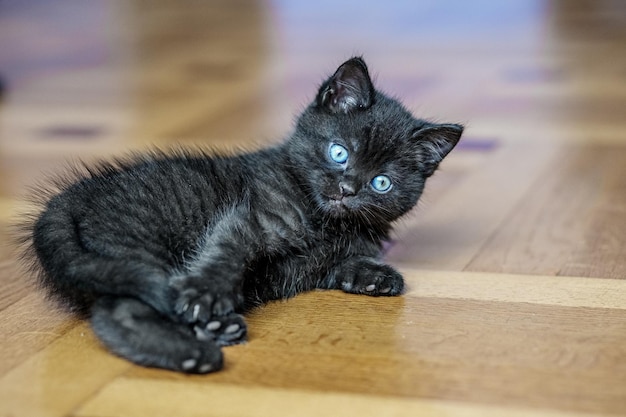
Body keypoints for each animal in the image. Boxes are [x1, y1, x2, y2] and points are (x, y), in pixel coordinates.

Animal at [22, 57, 460, 372]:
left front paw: (375, 276)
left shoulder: (326, 257)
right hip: (143, 242)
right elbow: (227, 253)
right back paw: (193, 352)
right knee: (117, 311)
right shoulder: (251, 218)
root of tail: (66, 200)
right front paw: (205, 294)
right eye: (339, 152)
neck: (326, 223)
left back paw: (215, 329)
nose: (347, 189)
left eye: (381, 183)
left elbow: (338, 263)